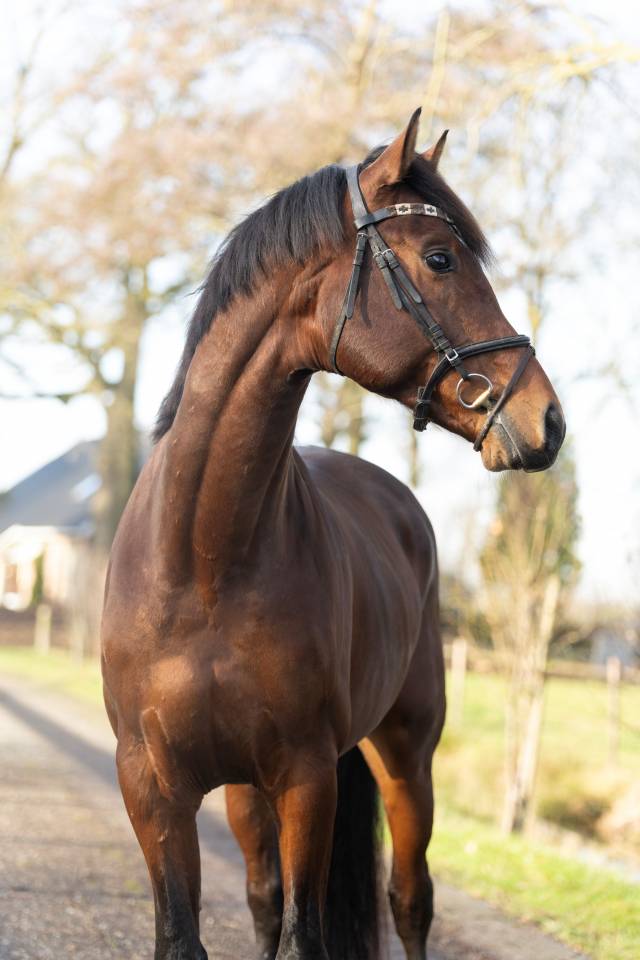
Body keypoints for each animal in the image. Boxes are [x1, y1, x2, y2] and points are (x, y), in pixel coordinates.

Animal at [101, 107, 565, 960]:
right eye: (440, 257)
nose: (544, 419)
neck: (204, 560)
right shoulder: (152, 786)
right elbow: (191, 933)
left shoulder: (307, 778)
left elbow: (308, 935)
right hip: (246, 790)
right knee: (262, 898)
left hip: (406, 758)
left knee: (410, 900)